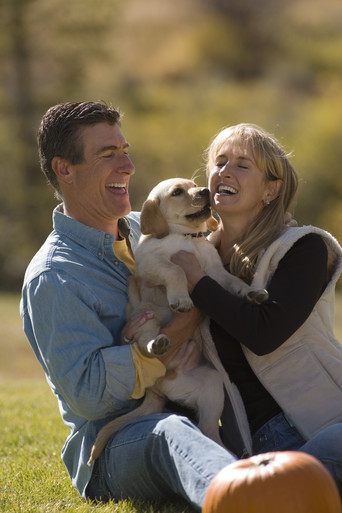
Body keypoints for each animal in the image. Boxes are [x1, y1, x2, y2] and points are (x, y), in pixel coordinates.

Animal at [87, 178, 268, 462]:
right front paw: (181, 299)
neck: (188, 239)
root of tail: (156, 391)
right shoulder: (152, 264)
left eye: (195, 185)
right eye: (177, 192)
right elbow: (176, 270)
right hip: (145, 317)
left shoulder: (214, 272)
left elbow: (233, 282)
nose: (205, 191)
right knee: (144, 343)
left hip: (213, 385)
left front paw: (252, 292)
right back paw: (158, 344)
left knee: (207, 429)